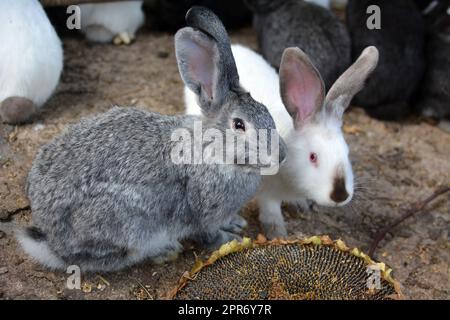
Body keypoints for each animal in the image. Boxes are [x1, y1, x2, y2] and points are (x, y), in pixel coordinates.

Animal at [18, 6, 284, 272]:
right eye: (239, 125)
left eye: (266, 112)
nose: (281, 154)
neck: (212, 150)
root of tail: (50, 239)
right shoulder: (203, 213)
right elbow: (208, 234)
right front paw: (230, 239)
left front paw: (236, 223)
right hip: (127, 223)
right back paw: (164, 249)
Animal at [185, 44, 378, 238]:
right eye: (313, 157)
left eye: (347, 153)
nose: (340, 196)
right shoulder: (267, 191)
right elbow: (271, 212)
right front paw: (278, 234)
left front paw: (301, 205)